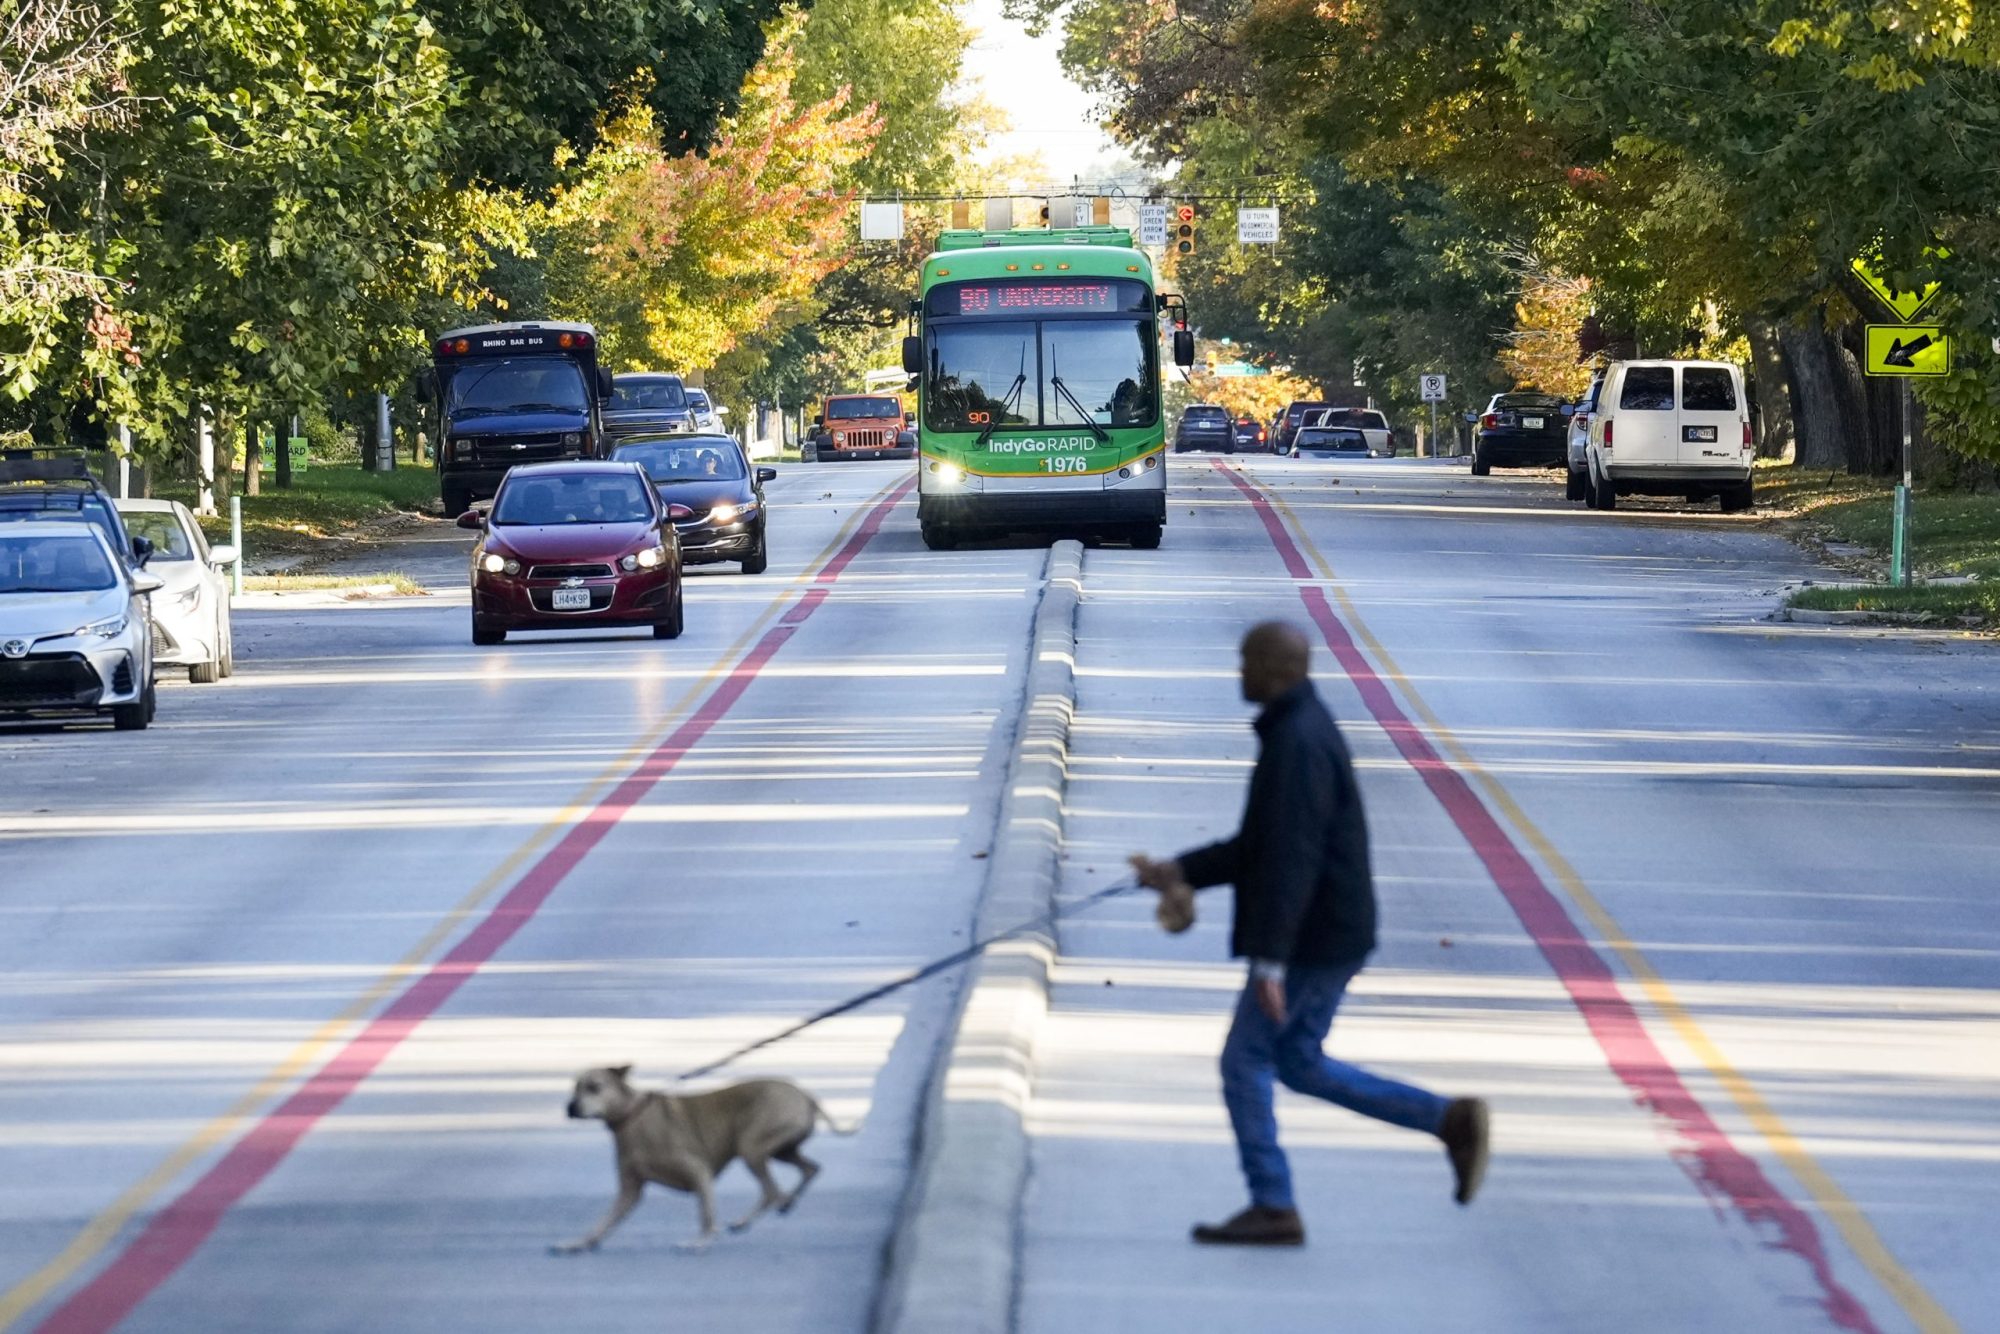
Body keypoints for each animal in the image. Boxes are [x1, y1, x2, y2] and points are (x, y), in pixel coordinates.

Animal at [552, 1072, 856, 1256]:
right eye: (575, 1087)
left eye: (594, 1087)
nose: (570, 1107)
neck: (632, 1117)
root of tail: (807, 1096)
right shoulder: (630, 1190)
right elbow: (602, 1223)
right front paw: (576, 1244)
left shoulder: (698, 1172)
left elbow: (706, 1214)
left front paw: (700, 1241)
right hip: (781, 1150)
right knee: (809, 1169)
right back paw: (780, 1204)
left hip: (753, 1147)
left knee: (773, 1190)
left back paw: (764, 1210)